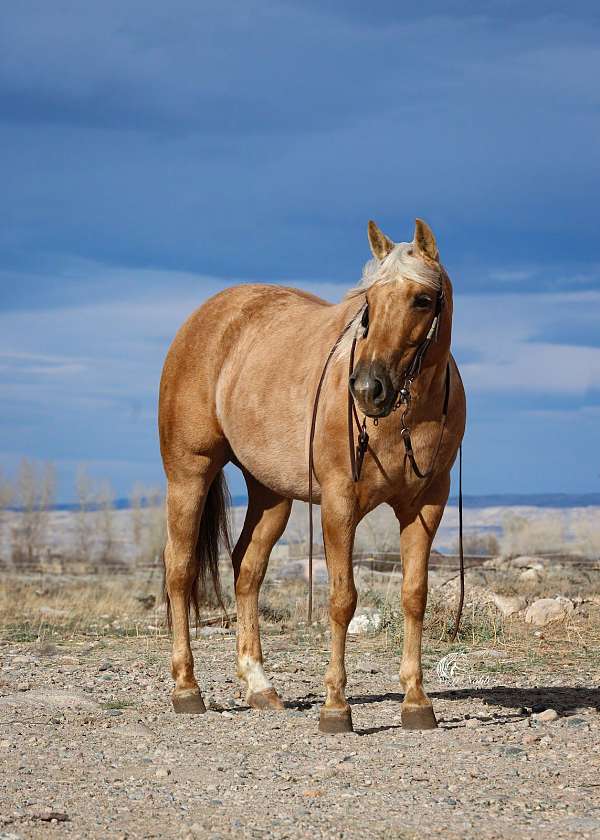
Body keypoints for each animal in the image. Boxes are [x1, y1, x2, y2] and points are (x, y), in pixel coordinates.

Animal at [159, 218, 466, 733]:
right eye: (368, 301)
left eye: (422, 299)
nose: (368, 389)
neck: (403, 419)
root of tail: (206, 317)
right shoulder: (340, 505)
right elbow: (342, 599)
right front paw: (336, 707)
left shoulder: (426, 505)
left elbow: (414, 595)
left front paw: (416, 701)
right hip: (188, 474)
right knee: (180, 569)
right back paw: (186, 689)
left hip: (270, 495)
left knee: (247, 569)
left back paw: (259, 687)